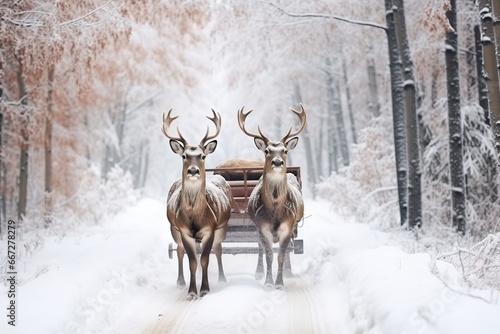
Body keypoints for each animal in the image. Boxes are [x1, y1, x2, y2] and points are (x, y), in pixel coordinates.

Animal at [162, 109, 232, 300]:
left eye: (202, 156)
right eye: (184, 156)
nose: (193, 170)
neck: (195, 216)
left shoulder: (210, 229)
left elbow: (205, 259)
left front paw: (205, 289)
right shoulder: (184, 231)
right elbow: (192, 261)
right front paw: (192, 291)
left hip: (221, 229)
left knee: (218, 250)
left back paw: (222, 279)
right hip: (174, 230)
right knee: (179, 251)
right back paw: (180, 281)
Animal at [236, 104, 306, 288]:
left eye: (285, 150)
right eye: (267, 150)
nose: (277, 162)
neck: (275, 210)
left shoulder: (288, 226)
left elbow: (281, 255)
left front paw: (279, 283)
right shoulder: (263, 227)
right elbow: (268, 255)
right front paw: (268, 282)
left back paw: (288, 271)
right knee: (259, 248)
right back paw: (259, 272)